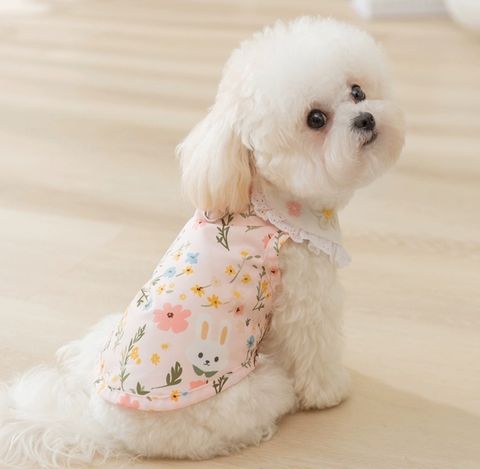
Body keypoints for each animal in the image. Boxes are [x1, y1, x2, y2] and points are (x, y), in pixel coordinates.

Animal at [0, 16, 405, 467]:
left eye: (357, 91)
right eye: (316, 119)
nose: (366, 118)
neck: (270, 199)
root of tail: (108, 430)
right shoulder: (307, 297)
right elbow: (316, 351)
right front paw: (331, 391)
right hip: (255, 392)